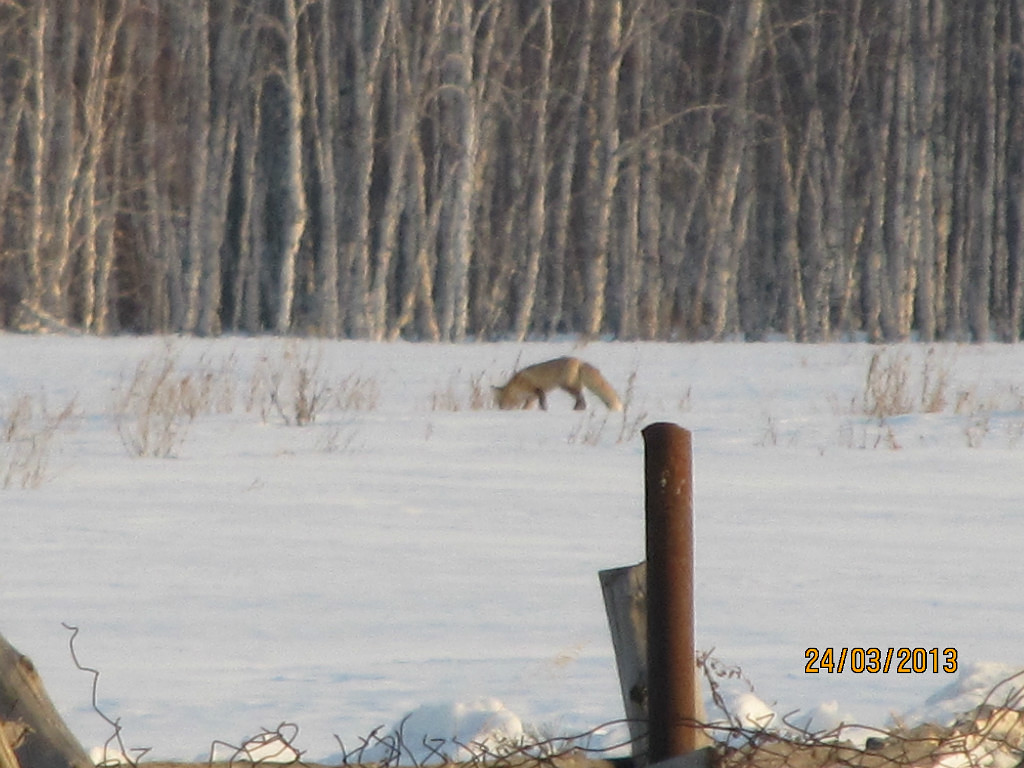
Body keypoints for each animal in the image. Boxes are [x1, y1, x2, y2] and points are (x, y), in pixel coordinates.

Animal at [492, 357, 623, 411]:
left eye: (502, 401)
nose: (501, 409)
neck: (517, 385)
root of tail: (579, 361)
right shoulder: (531, 398)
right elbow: (528, 406)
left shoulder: (537, 389)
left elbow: (542, 402)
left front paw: (544, 410)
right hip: (571, 387)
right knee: (582, 399)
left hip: (568, 387)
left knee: (581, 399)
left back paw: (576, 409)